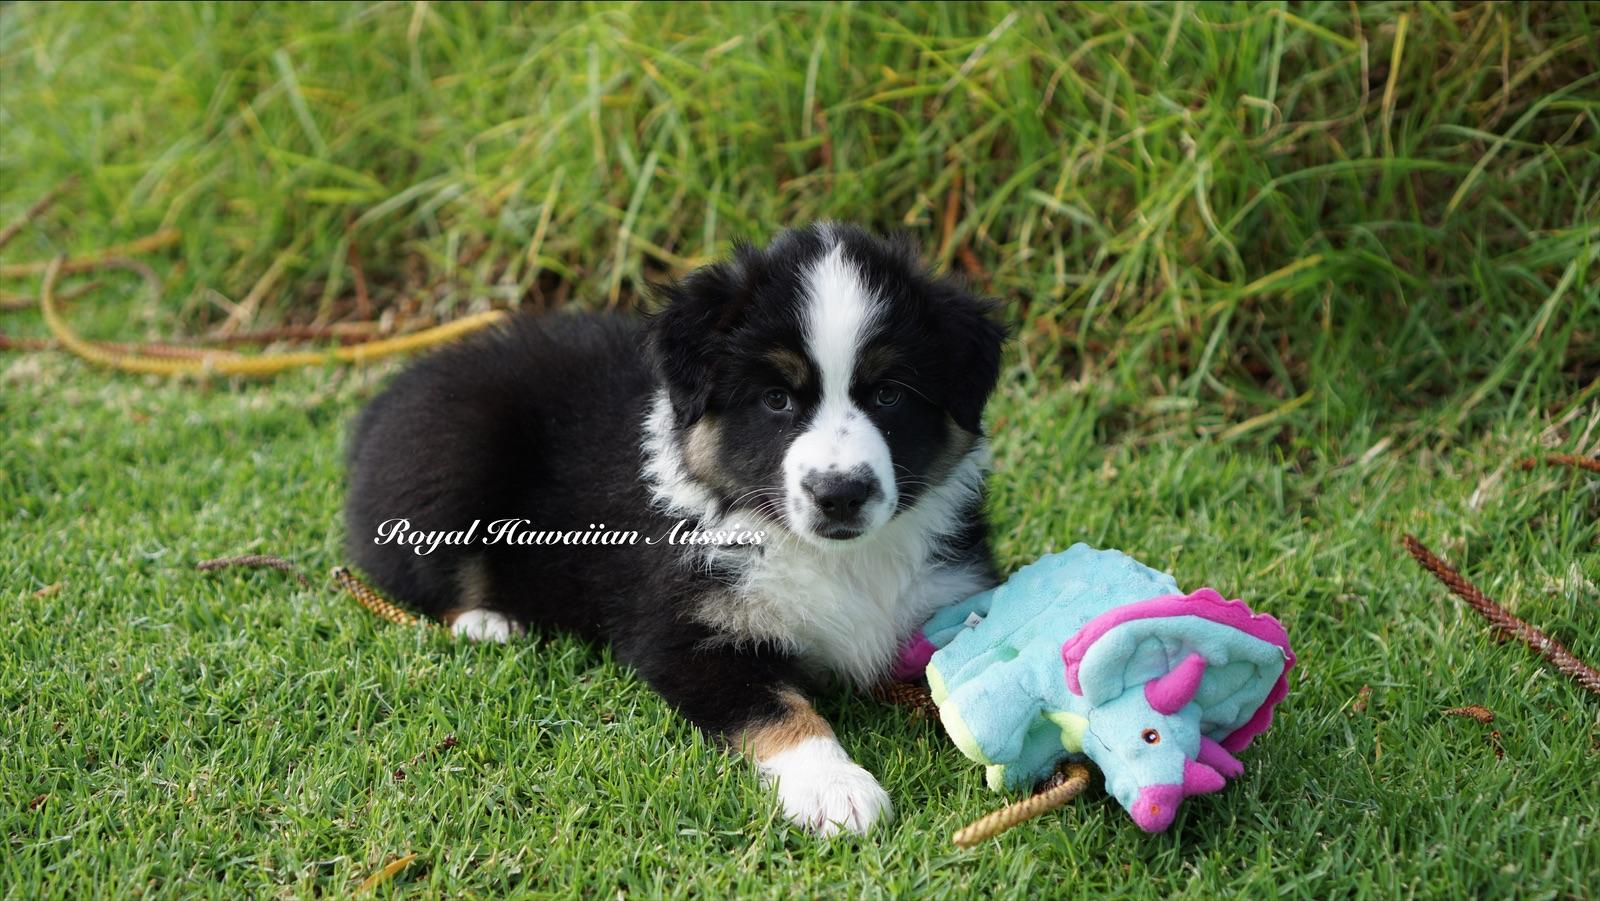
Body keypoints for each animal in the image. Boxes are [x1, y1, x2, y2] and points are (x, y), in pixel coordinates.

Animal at [344, 223, 1005, 836]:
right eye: (776, 399)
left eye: (890, 394)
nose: (839, 494)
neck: (835, 557)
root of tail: (387, 397)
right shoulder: (688, 634)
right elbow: (779, 709)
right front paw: (835, 789)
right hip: (455, 453)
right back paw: (489, 622)